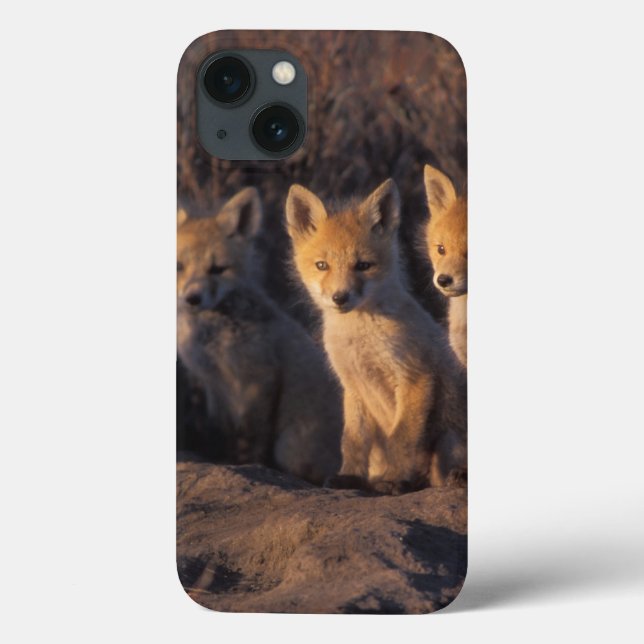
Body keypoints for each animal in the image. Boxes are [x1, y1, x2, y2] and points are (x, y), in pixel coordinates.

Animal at [177, 187, 342, 484]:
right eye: (178, 267)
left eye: (217, 269)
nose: (192, 299)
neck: (211, 343)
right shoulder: (213, 386)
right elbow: (223, 431)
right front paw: (224, 459)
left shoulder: (259, 379)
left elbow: (251, 438)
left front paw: (248, 465)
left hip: (290, 446)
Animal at [285, 179, 467, 494]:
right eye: (322, 265)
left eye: (363, 265)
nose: (340, 297)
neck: (361, 342)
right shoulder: (353, 386)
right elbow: (353, 441)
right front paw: (349, 477)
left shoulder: (415, 377)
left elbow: (401, 439)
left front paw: (394, 479)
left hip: (447, 438)